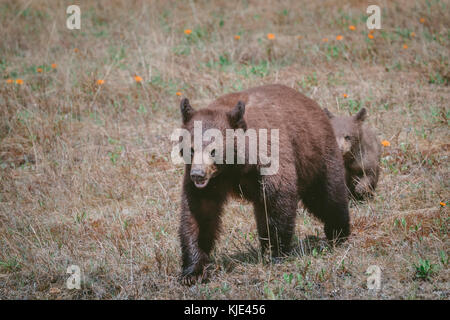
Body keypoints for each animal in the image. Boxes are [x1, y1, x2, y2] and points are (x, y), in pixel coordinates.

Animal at [178, 84, 350, 284]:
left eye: (214, 150)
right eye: (191, 149)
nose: (198, 175)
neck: (235, 166)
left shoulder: (270, 157)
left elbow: (276, 202)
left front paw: (276, 252)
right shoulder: (210, 182)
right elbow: (199, 212)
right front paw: (193, 271)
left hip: (316, 155)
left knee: (327, 195)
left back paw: (338, 233)